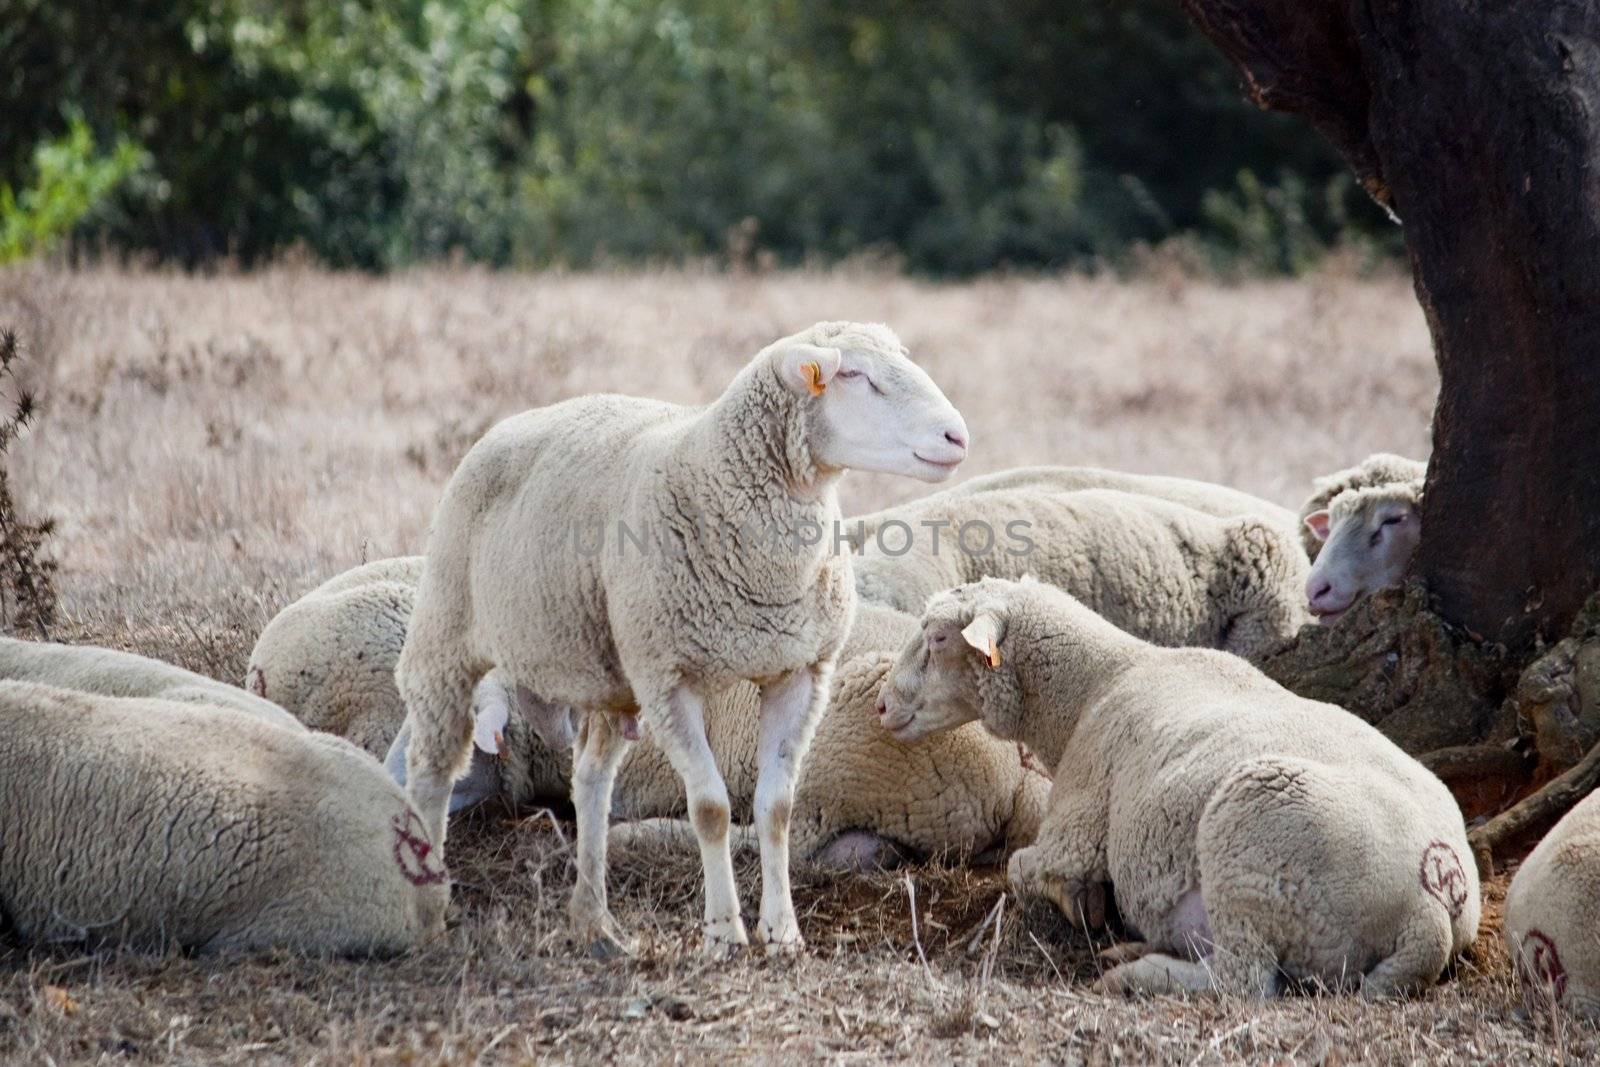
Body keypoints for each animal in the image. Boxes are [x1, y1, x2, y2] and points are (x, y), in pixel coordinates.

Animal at [396, 323, 972, 959]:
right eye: (853, 375)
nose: (957, 436)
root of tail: (508, 423)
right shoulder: (670, 681)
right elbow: (712, 809)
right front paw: (724, 933)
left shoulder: (800, 672)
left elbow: (776, 807)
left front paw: (783, 933)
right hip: (447, 633)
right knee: (432, 771)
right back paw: (428, 917)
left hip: (611, 677)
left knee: (590, 780)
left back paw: (595, 922)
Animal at [876, 579, 1472, 998]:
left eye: (937, 638)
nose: (881, 706)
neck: (1095, 686)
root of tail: (1433, 903)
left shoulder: (1077, 827)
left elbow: (1025, 867)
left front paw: (1079, 903)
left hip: (1252, 846)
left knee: (1243, 982)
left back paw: (1135, 974)